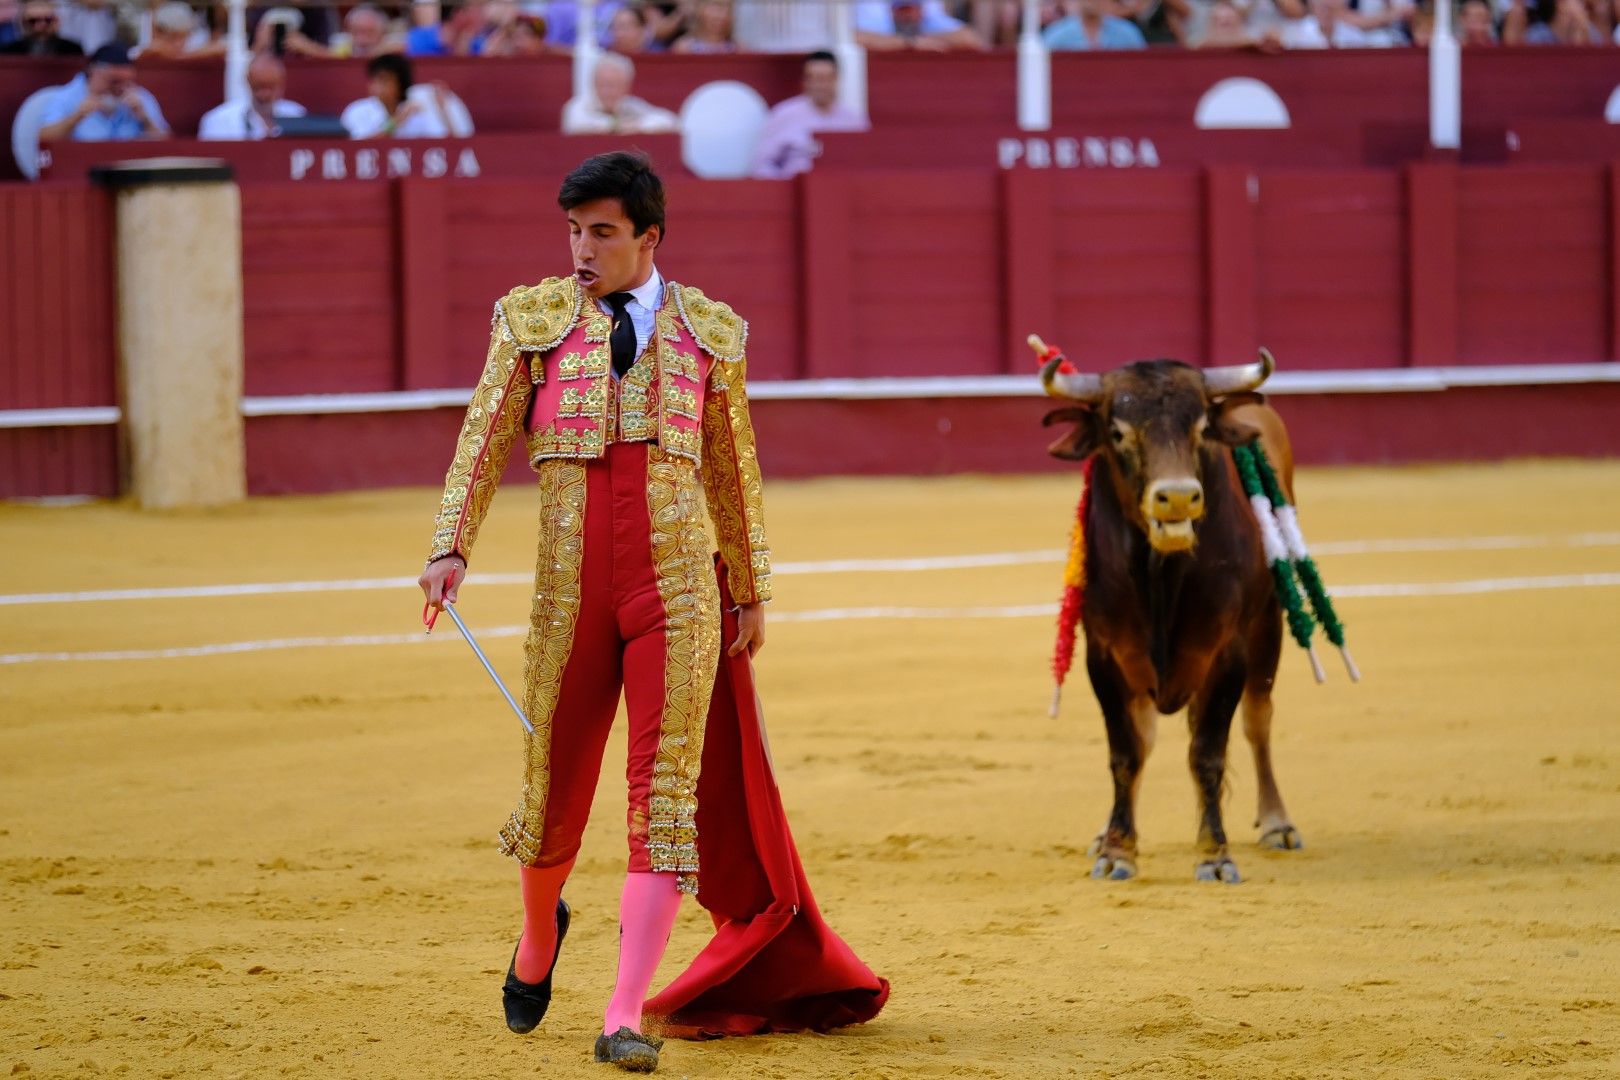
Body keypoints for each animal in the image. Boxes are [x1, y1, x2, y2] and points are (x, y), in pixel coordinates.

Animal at [1036, 354, 1302, 887]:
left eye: (1201, 428)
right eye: (1117, 432)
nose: (1178, 498)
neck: (1160, 574)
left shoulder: (1228, 652)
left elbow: (1208, 753)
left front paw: (1215, 855)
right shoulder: (1104, 655)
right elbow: (1127, 753)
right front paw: (1117, 850)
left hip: (1269, 625)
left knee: (1258, 719)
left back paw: (1277, 822)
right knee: (1145, 736)